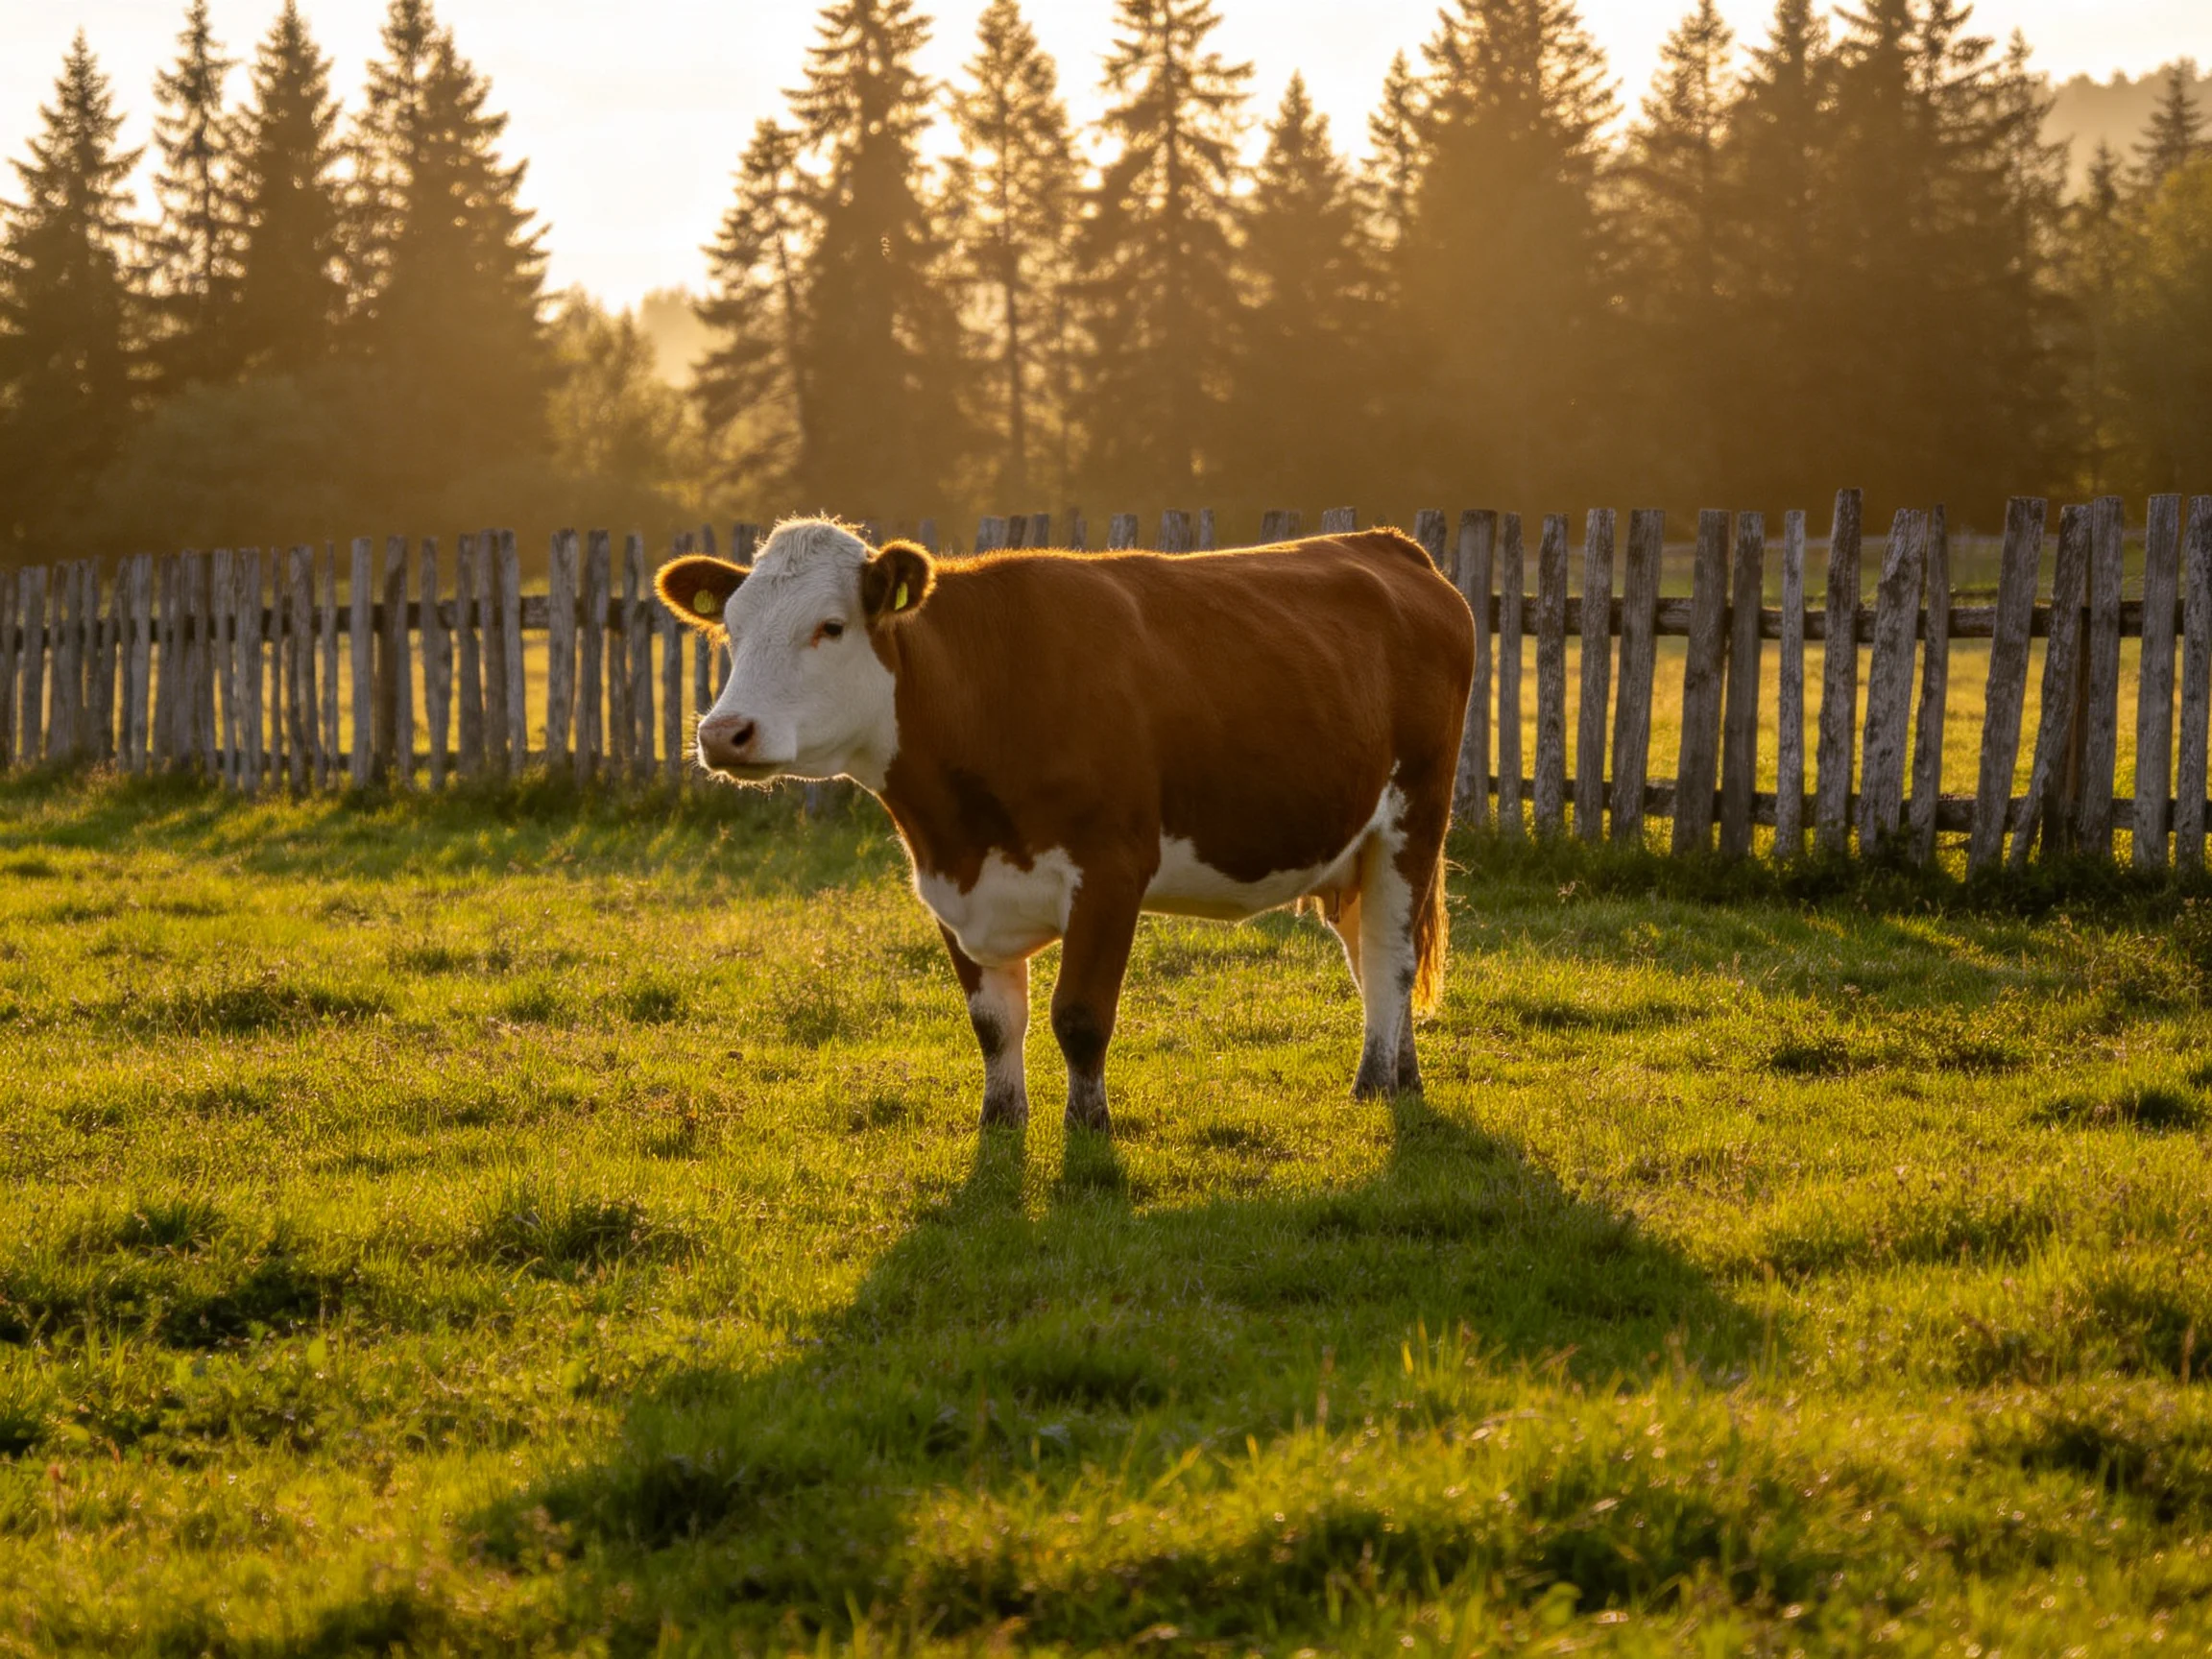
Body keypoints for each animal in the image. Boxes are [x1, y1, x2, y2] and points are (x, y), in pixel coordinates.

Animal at [656, 518, 1474, 1135]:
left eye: (830, 627)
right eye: (730, 629)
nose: (724, 733)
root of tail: (1387, 545)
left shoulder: (1112, 868)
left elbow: (1079, 1016)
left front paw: (1088, 1130)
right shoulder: (949, 885)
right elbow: (993, 1022)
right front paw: (1000, 1120)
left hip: (1414, 818)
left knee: (1391, 955)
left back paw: (1374, 1083)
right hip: (1352, 844)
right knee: (1371, 954)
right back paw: (1404, 1075)